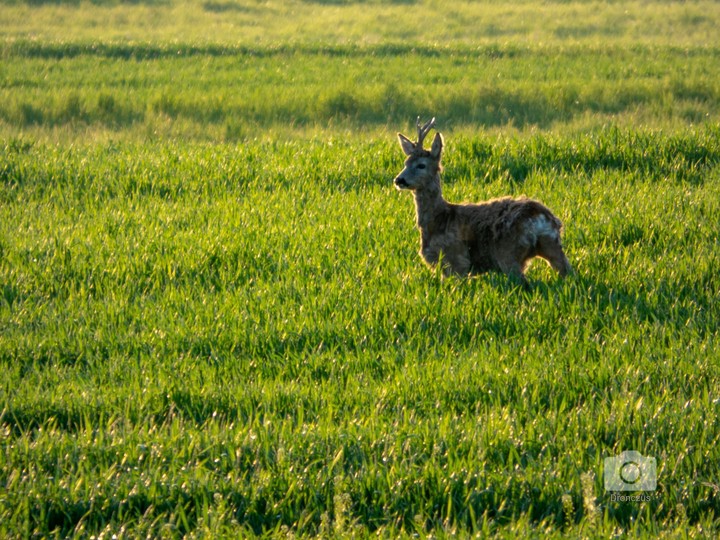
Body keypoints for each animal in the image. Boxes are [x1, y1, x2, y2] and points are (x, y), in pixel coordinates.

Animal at [393, 118, 572, 286]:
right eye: (405, 163)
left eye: (421, 165)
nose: (399, 180)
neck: (438, 219)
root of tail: (540, 217)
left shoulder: (456, 260)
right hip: (551, 245)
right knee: (569, 273)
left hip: (508, 252)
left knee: (524, 282)